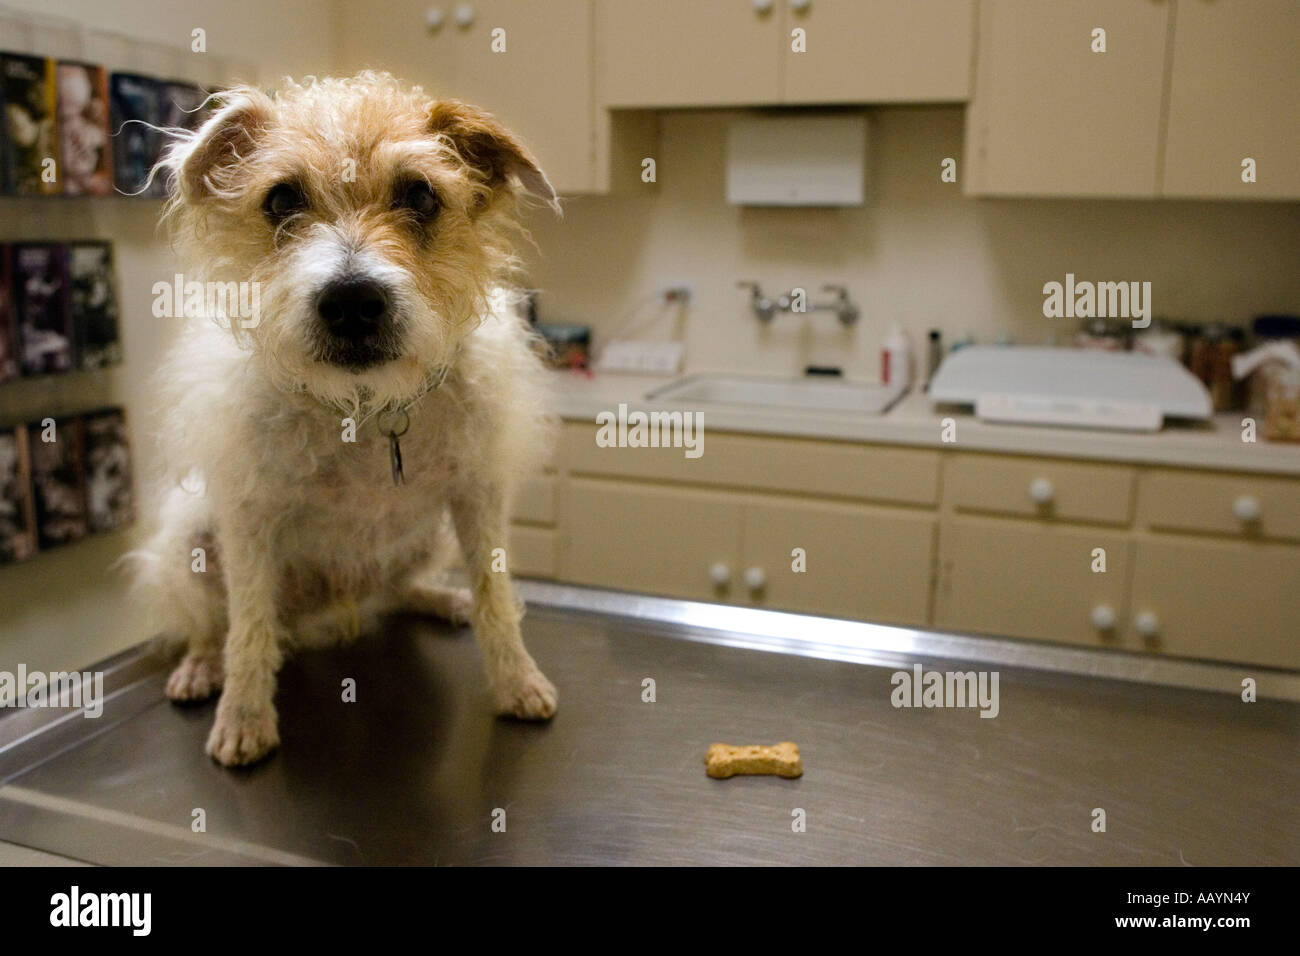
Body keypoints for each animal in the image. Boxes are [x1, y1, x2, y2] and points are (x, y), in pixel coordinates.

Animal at [129, 70, 561, 764]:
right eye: (281, 199)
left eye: (420, 194)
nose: (352, 301)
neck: (366, 408)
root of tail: (332, 611)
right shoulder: (248, 519)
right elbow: (248, 627)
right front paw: (244, 716)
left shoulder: (477, 498)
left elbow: (496, 600)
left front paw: (517, 681)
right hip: (191, 541)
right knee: (214, 621)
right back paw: (201, 665)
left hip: (428, 538)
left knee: (397, 591)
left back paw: (442, 598)